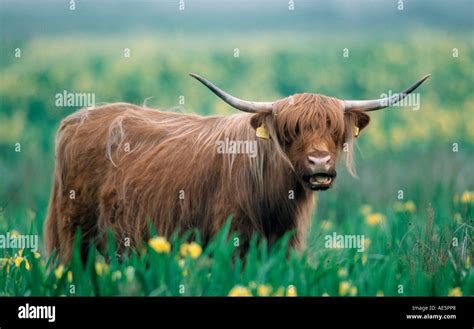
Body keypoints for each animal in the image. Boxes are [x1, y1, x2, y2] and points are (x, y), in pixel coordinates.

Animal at [44, 72, 430, 262]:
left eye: (335, 131)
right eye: (290, 132)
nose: (319, 163)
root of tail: (76, 119)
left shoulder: (282, 245)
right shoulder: (232, 238)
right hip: (74, 235)